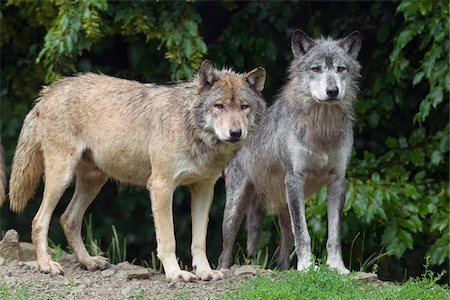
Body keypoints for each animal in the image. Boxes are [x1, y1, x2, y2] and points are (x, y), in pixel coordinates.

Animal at [3, 61, 266, 282]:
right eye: (219, 106)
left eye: (244, 107)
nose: (235, 133)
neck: (191, 128)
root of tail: (48, 92)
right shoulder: (161, 187)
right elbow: (168, 239)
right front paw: (176, 274)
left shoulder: (204, 189)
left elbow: (198, 241)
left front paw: (205, 272)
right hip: (62, 177)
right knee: (40, 220)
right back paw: (47, 265)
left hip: (94, 181)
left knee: (68, 219)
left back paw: (88, 261)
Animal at [218, 29, 362, 274]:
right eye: (316, 69)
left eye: (341, 69)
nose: (332, 91)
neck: (322, 129)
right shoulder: (295, 179)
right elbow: (304, 234)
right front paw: (306, 267)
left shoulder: (338, 181)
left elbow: (333, 235)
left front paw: (337, 267)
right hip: (236, 208)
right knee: (225, 251)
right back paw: (221, 271)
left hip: (285, 208)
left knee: (282, 251)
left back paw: (285, 270)